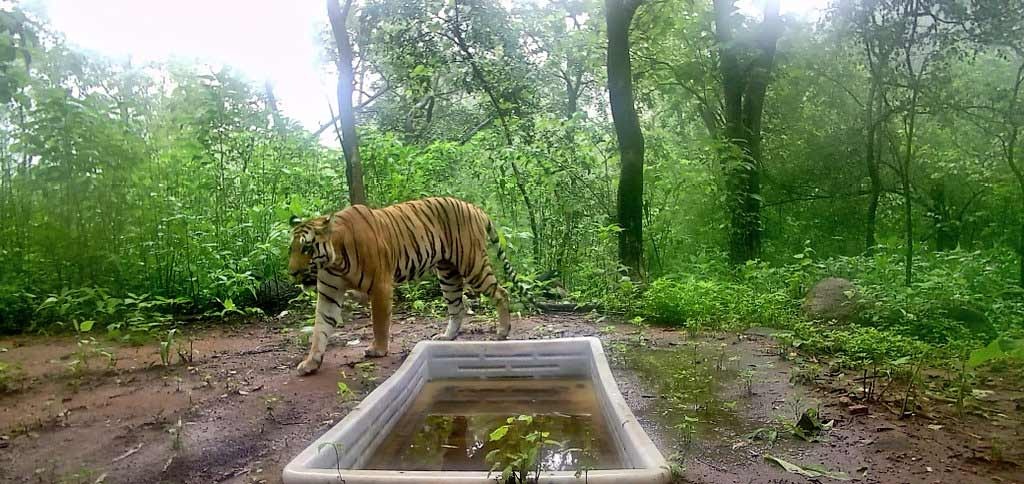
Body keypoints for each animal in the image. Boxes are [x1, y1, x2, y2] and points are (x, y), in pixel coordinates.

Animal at [287, 197, 520, 375]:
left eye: (307, 248)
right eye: (292, 249)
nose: (292, 273)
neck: (335, 261)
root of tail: (474, 207)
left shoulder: (380, 286)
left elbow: (379, 323)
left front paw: (378, 350)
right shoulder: (329, 293)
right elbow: (320, 329)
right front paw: (311, 363)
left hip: (473, 265)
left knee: (501, 292)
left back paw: (502, 331)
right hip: (448, 274)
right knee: (457, 307)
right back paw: (447, 336)